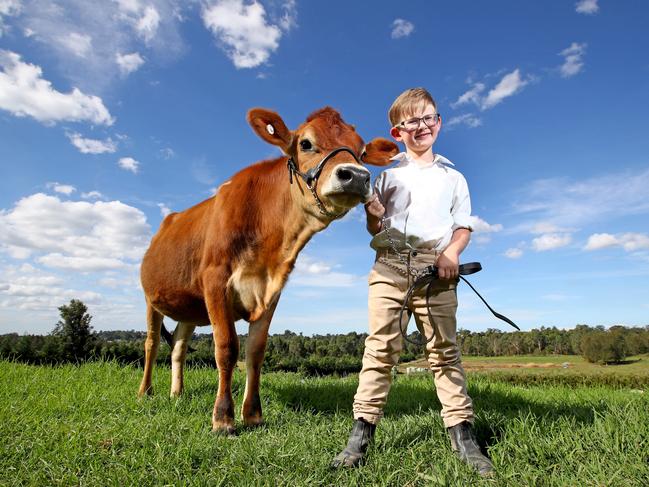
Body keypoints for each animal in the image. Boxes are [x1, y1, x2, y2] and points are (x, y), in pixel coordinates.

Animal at [139, 107, 398, 434]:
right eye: (306, 143)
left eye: (362, 151)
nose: (356, 176)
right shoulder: (215, 280)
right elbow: (226, 348)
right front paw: (223, 418)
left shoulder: (271, 290)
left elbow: (256, 352)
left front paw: (253, 414)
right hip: (151, 299)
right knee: (151, 343)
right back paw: (145, 392)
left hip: (189, 307)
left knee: (178, 347)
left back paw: (177, 393)